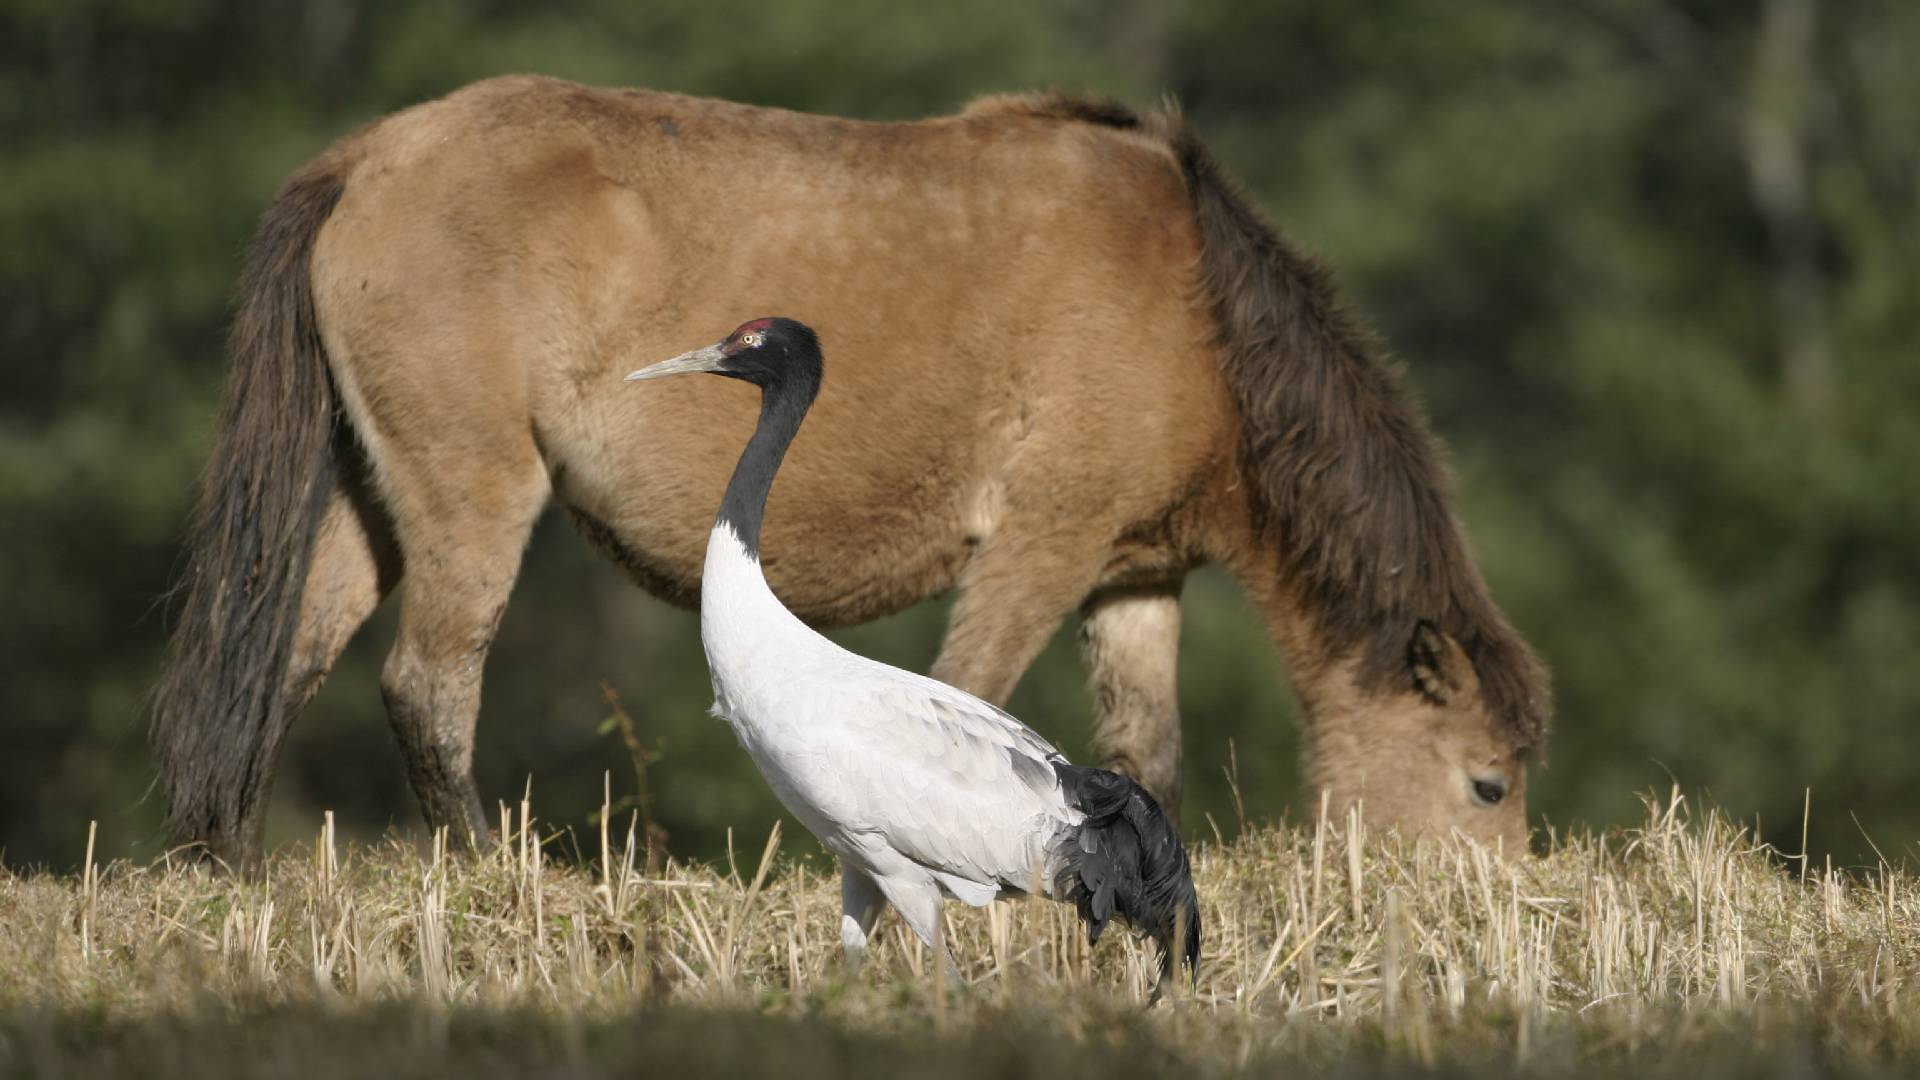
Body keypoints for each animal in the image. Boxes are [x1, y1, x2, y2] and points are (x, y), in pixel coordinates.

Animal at [157, 77, 1551, 864]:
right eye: (1485, 782)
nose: (1496, 903)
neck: (1198, 311)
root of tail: (365, 160)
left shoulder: (1130, 580)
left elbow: (1144, 754)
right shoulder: (1038, 548)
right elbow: (970, 701)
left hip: (373, 500)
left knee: (288, 664)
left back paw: (228, 862)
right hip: (474, 496)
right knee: (428, 687)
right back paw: (484, 870)